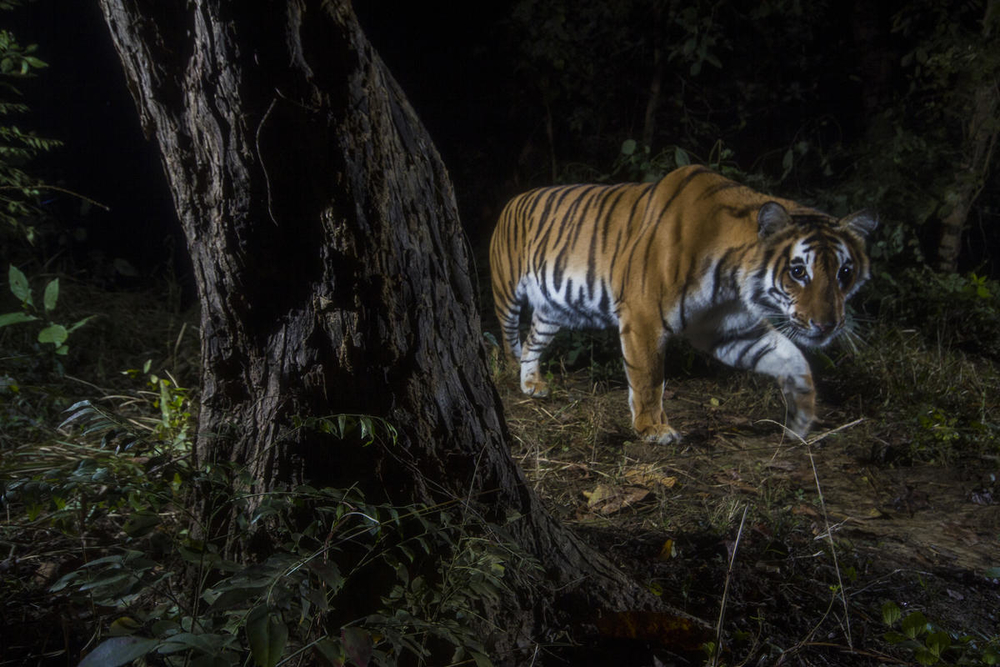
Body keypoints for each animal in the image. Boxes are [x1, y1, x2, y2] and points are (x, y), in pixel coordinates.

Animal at [490, 165, 876, 444]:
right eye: (798, 271)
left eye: (845, 272)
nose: (828, 325)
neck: (733, 279)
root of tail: (512, 199)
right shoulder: (643, 317)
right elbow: (648, 378)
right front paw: (653, 429)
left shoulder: (728, 328)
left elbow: (790, 357)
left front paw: (802, 415)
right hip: (507, 291)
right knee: (510, 339)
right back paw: (509, 376)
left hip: (552, 310)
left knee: (532, 342)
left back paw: (531, 384)